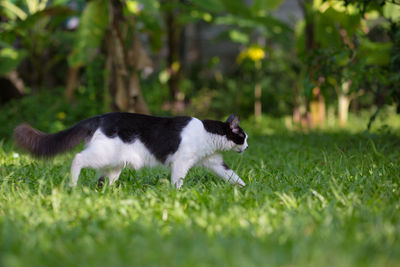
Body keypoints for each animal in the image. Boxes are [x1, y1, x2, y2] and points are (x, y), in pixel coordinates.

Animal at [14, 112, 248, 189]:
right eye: (244, 137)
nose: (247, 146)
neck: (207, 133)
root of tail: (100, 117)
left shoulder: (214, 162)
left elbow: (232, 176)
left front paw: (246, 189)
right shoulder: (181, 162)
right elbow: (178, 180)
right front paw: (178, 194)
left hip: (116, 163)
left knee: (103, 179)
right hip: (102, 154)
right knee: (78, 158)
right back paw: (72, 184)